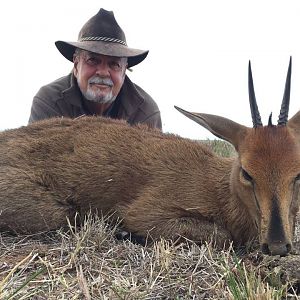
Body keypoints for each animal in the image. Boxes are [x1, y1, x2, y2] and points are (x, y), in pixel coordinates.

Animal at [0, 59, 298, 256]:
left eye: (296, 174)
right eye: (247, 173)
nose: (278, 245)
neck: (218, 187)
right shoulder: (147, 213)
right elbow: (221, 236)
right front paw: (126, 234)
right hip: (54, 212)